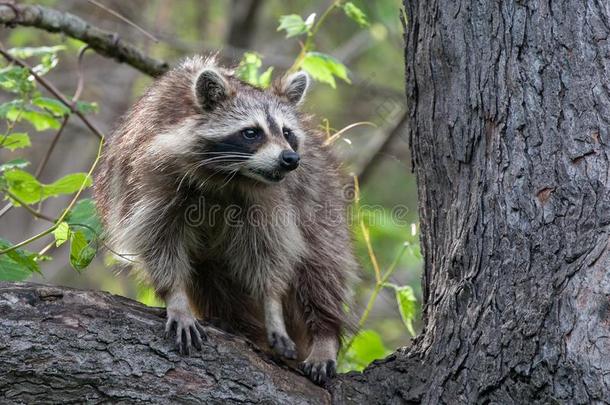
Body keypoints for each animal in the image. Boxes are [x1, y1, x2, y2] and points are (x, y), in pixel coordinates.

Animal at [95, 55, 356, 384]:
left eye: (287, 133)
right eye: (251, 132)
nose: (290, 159)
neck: (228, 175)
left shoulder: (271, 199)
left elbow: (270, 250)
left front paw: (271, 302)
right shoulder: (148, 178)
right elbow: (158, 239)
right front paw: (176, 297)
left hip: (321, 194)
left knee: (321, 267)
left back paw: (324, 333)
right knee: (211, 279)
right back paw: (238, 324)